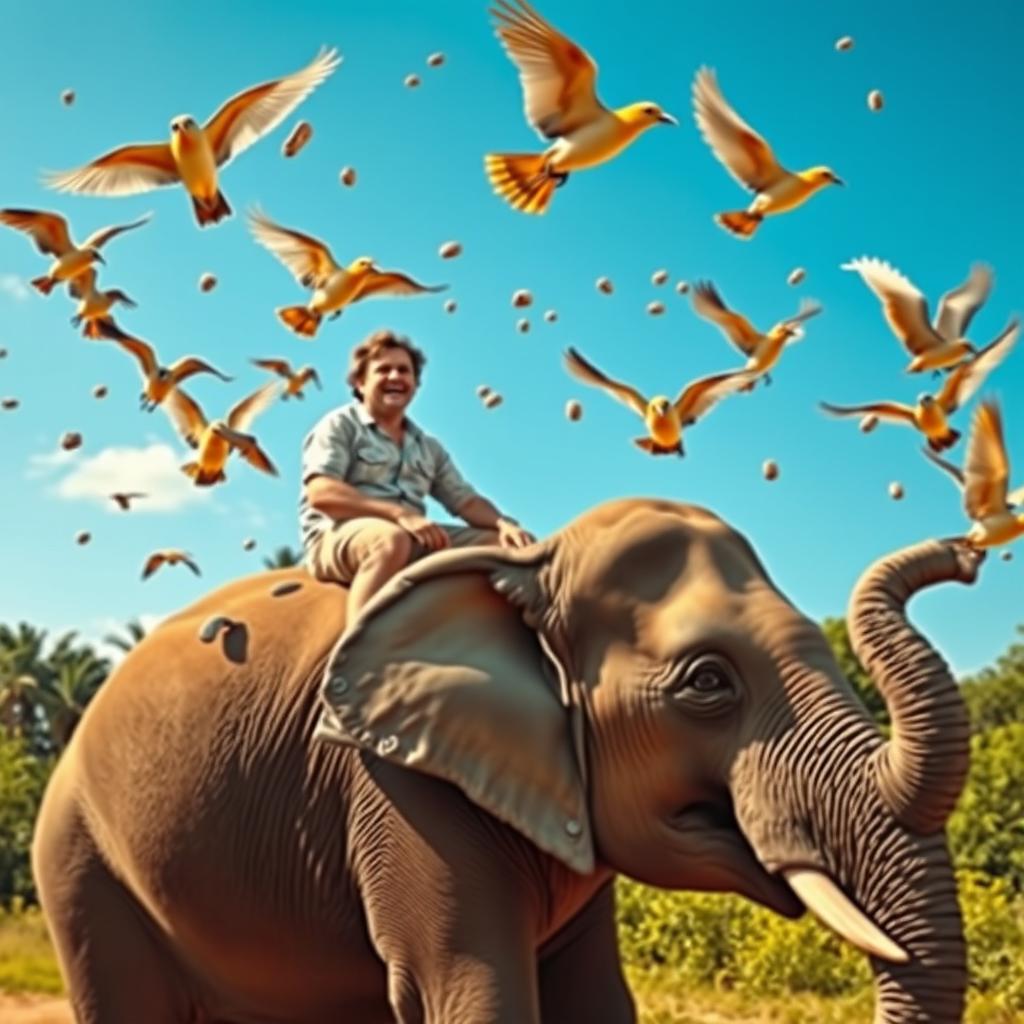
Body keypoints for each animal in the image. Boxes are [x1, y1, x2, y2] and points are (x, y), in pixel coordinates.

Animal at [28, 493, 978, 1015]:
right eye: (707, 682)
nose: (967, 553)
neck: (530, 566)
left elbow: (597, 999)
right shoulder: (399, 787)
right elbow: (468, 986)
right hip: (78, 857)